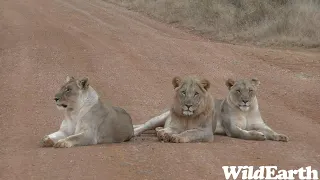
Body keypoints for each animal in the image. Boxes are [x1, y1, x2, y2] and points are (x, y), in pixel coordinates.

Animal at [134, 78, 288, 143]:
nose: (245, 101)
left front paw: (280, 136)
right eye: (238, 91)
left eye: (250, 90)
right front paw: (258, 135)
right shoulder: (231, 128)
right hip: (159, 118)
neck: (246, 111)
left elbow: (270, 130)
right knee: (144, 126)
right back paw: (136, 131)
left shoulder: (260, 124)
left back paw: (160, 131)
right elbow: (244, 133)